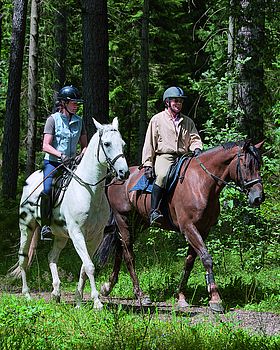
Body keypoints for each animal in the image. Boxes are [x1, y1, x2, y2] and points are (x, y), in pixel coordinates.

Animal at [10, 118, 129, 308]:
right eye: (107, 144)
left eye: (123, 144)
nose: (124, 173)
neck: (90, 191)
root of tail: (30, 179)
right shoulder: (77, 233)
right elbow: (89, 266)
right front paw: (97, 302)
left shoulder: (95, 236)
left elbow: (84, 267)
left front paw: (79, 300)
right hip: (26, 227)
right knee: (23, 258)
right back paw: (27, 294)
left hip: (60, 236)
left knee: (51, 257)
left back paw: (56, 292)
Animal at [99, 139, 264, 312]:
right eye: (246, 165)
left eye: (259, 165)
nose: (258, 197)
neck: (202, 183)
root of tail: (117, 178)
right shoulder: (189, 228)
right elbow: (206, 258)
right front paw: (215, 298)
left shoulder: (203, 230)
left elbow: (189, 262)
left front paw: (181, 296)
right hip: (122, 219)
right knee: (128, 255)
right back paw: (140, 294)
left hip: (137, 223)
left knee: (120, 249)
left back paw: (107, 287)